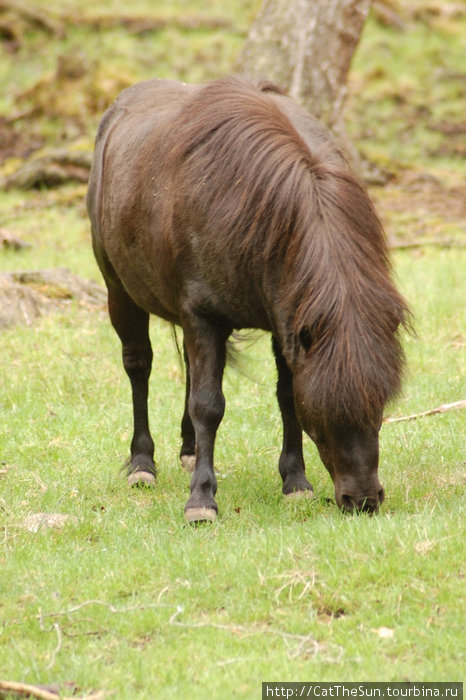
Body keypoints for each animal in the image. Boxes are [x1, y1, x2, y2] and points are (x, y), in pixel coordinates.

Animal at [86, 78, 408, 520]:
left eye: (379, 405)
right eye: (322, 414)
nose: (362, 499)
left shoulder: (285, 321)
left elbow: (284, 395)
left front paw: (296, 482)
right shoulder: (202, 315)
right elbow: (208, 405)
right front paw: (201, 499)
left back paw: (189, 450)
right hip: (119, 292)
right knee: (139, 367)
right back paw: (141, 465)